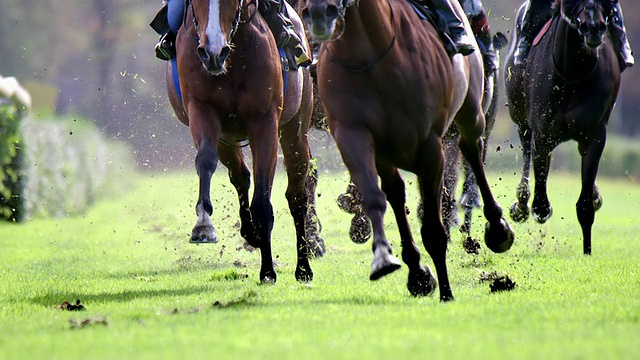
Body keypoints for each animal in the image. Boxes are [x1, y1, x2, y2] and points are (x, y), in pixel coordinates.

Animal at [166, 0, 320, 282]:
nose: (213, 52)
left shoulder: (265, 120)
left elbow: (263, 199)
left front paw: (267, 270)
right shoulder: (201, 109)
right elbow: (206, 161)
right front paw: (204, 225)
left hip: (296, 126)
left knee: (297, 194)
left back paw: (303, 267)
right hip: (227, 138)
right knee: (240, 175)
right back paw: (251, 234)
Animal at [300, 0, 516, 300]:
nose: (319, 14)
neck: (369, 57)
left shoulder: (430, 145)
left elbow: (434, 223)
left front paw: (446, 291)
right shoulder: (357, 135)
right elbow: (378, 195)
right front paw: (403, 267)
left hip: (472, 112)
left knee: (472, 151)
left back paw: (497, 228)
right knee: (395, 190)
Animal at [504, 0, 620, 255]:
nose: (593, 27)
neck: (572, 73)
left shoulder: (595, 136)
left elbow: (585, 204)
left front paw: (587, 251)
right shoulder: (542, 131)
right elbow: (541, 202)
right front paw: (530, 205)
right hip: (520, 115)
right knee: (526, 149)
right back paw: (521, 202)